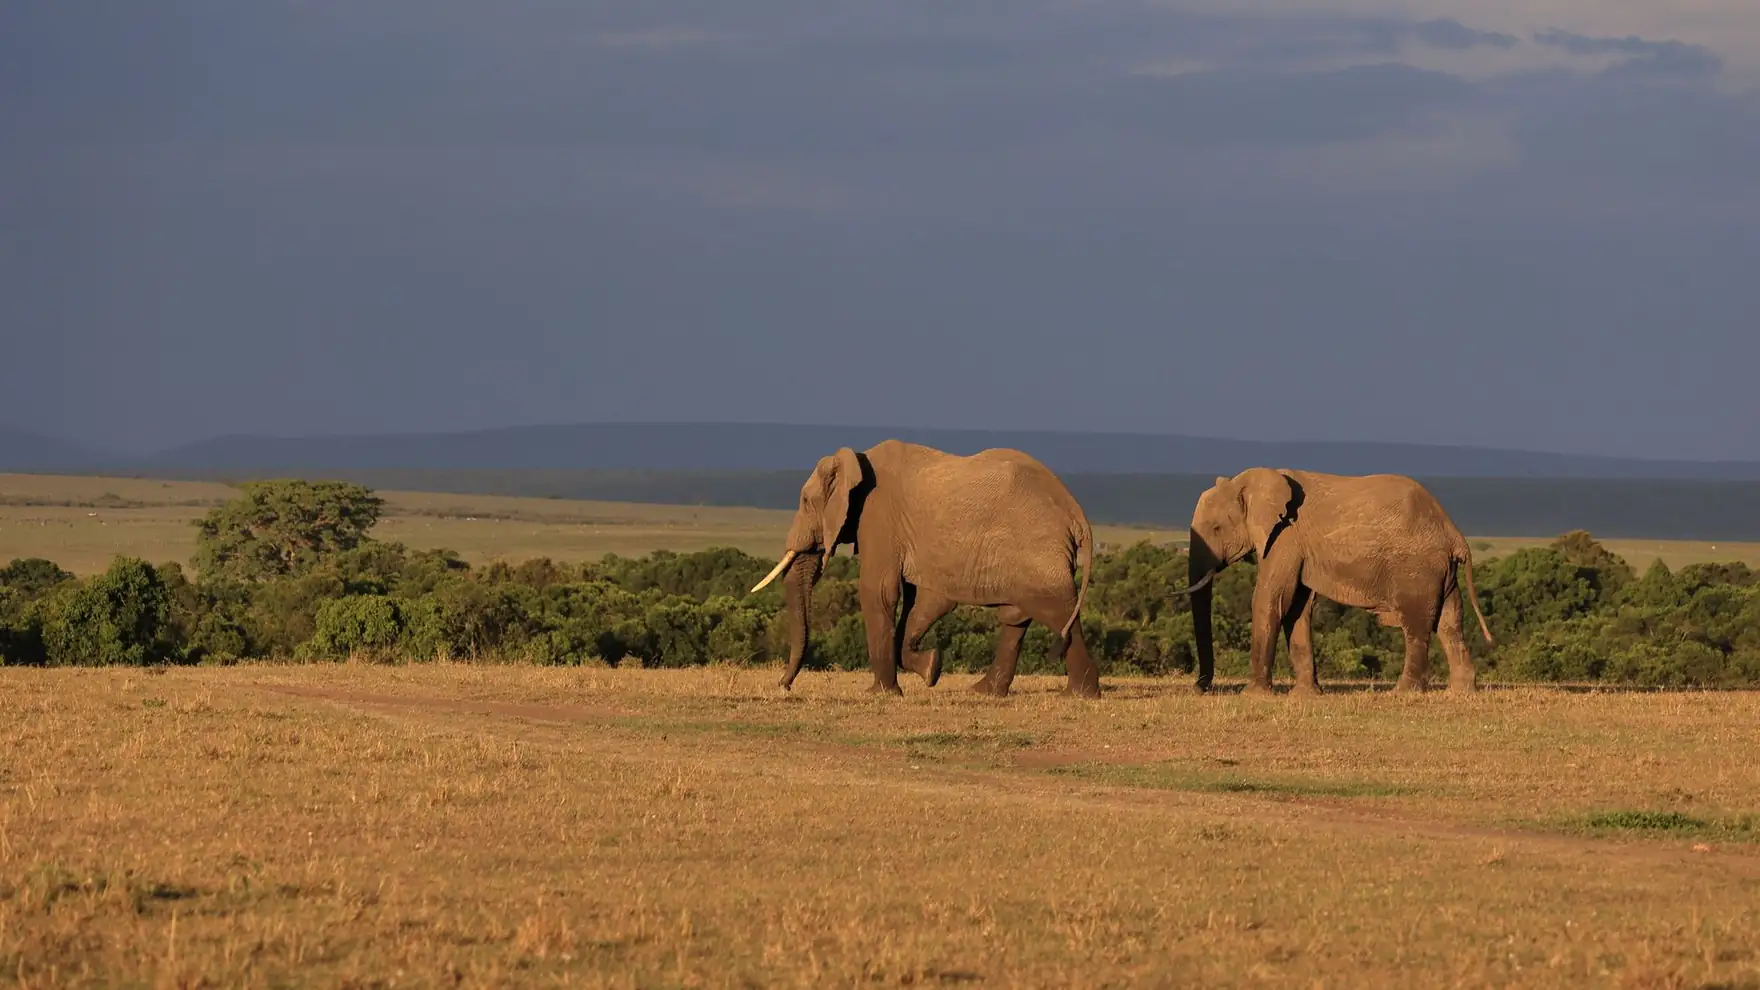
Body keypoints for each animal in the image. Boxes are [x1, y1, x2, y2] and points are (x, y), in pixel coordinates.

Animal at [748, 440, 1101, 698]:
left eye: (806, 501)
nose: (783, 685)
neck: (856, 461)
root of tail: (1076, 512)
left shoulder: (878, 517)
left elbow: (878, 591)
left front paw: (882, 693)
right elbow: (923, 601)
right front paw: (931, 668)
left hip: (1037, 547)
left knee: (1056, 610)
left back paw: (1080, 695)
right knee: (1017, 616)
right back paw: (984, 692)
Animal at [1185, 468, 1493, 695]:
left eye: (1217, 528)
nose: (1201, 688)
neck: (1247, 483)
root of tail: (1454, 534)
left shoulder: (1285, 538)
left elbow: (1270, 599)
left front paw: (1253, 696)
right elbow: (1297, 609)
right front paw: (1306, 696)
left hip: (1417, 569)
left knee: (1417, 626)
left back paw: (1402, 692)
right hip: (1441, 571)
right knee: (1450, 622)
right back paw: (1460, 692)